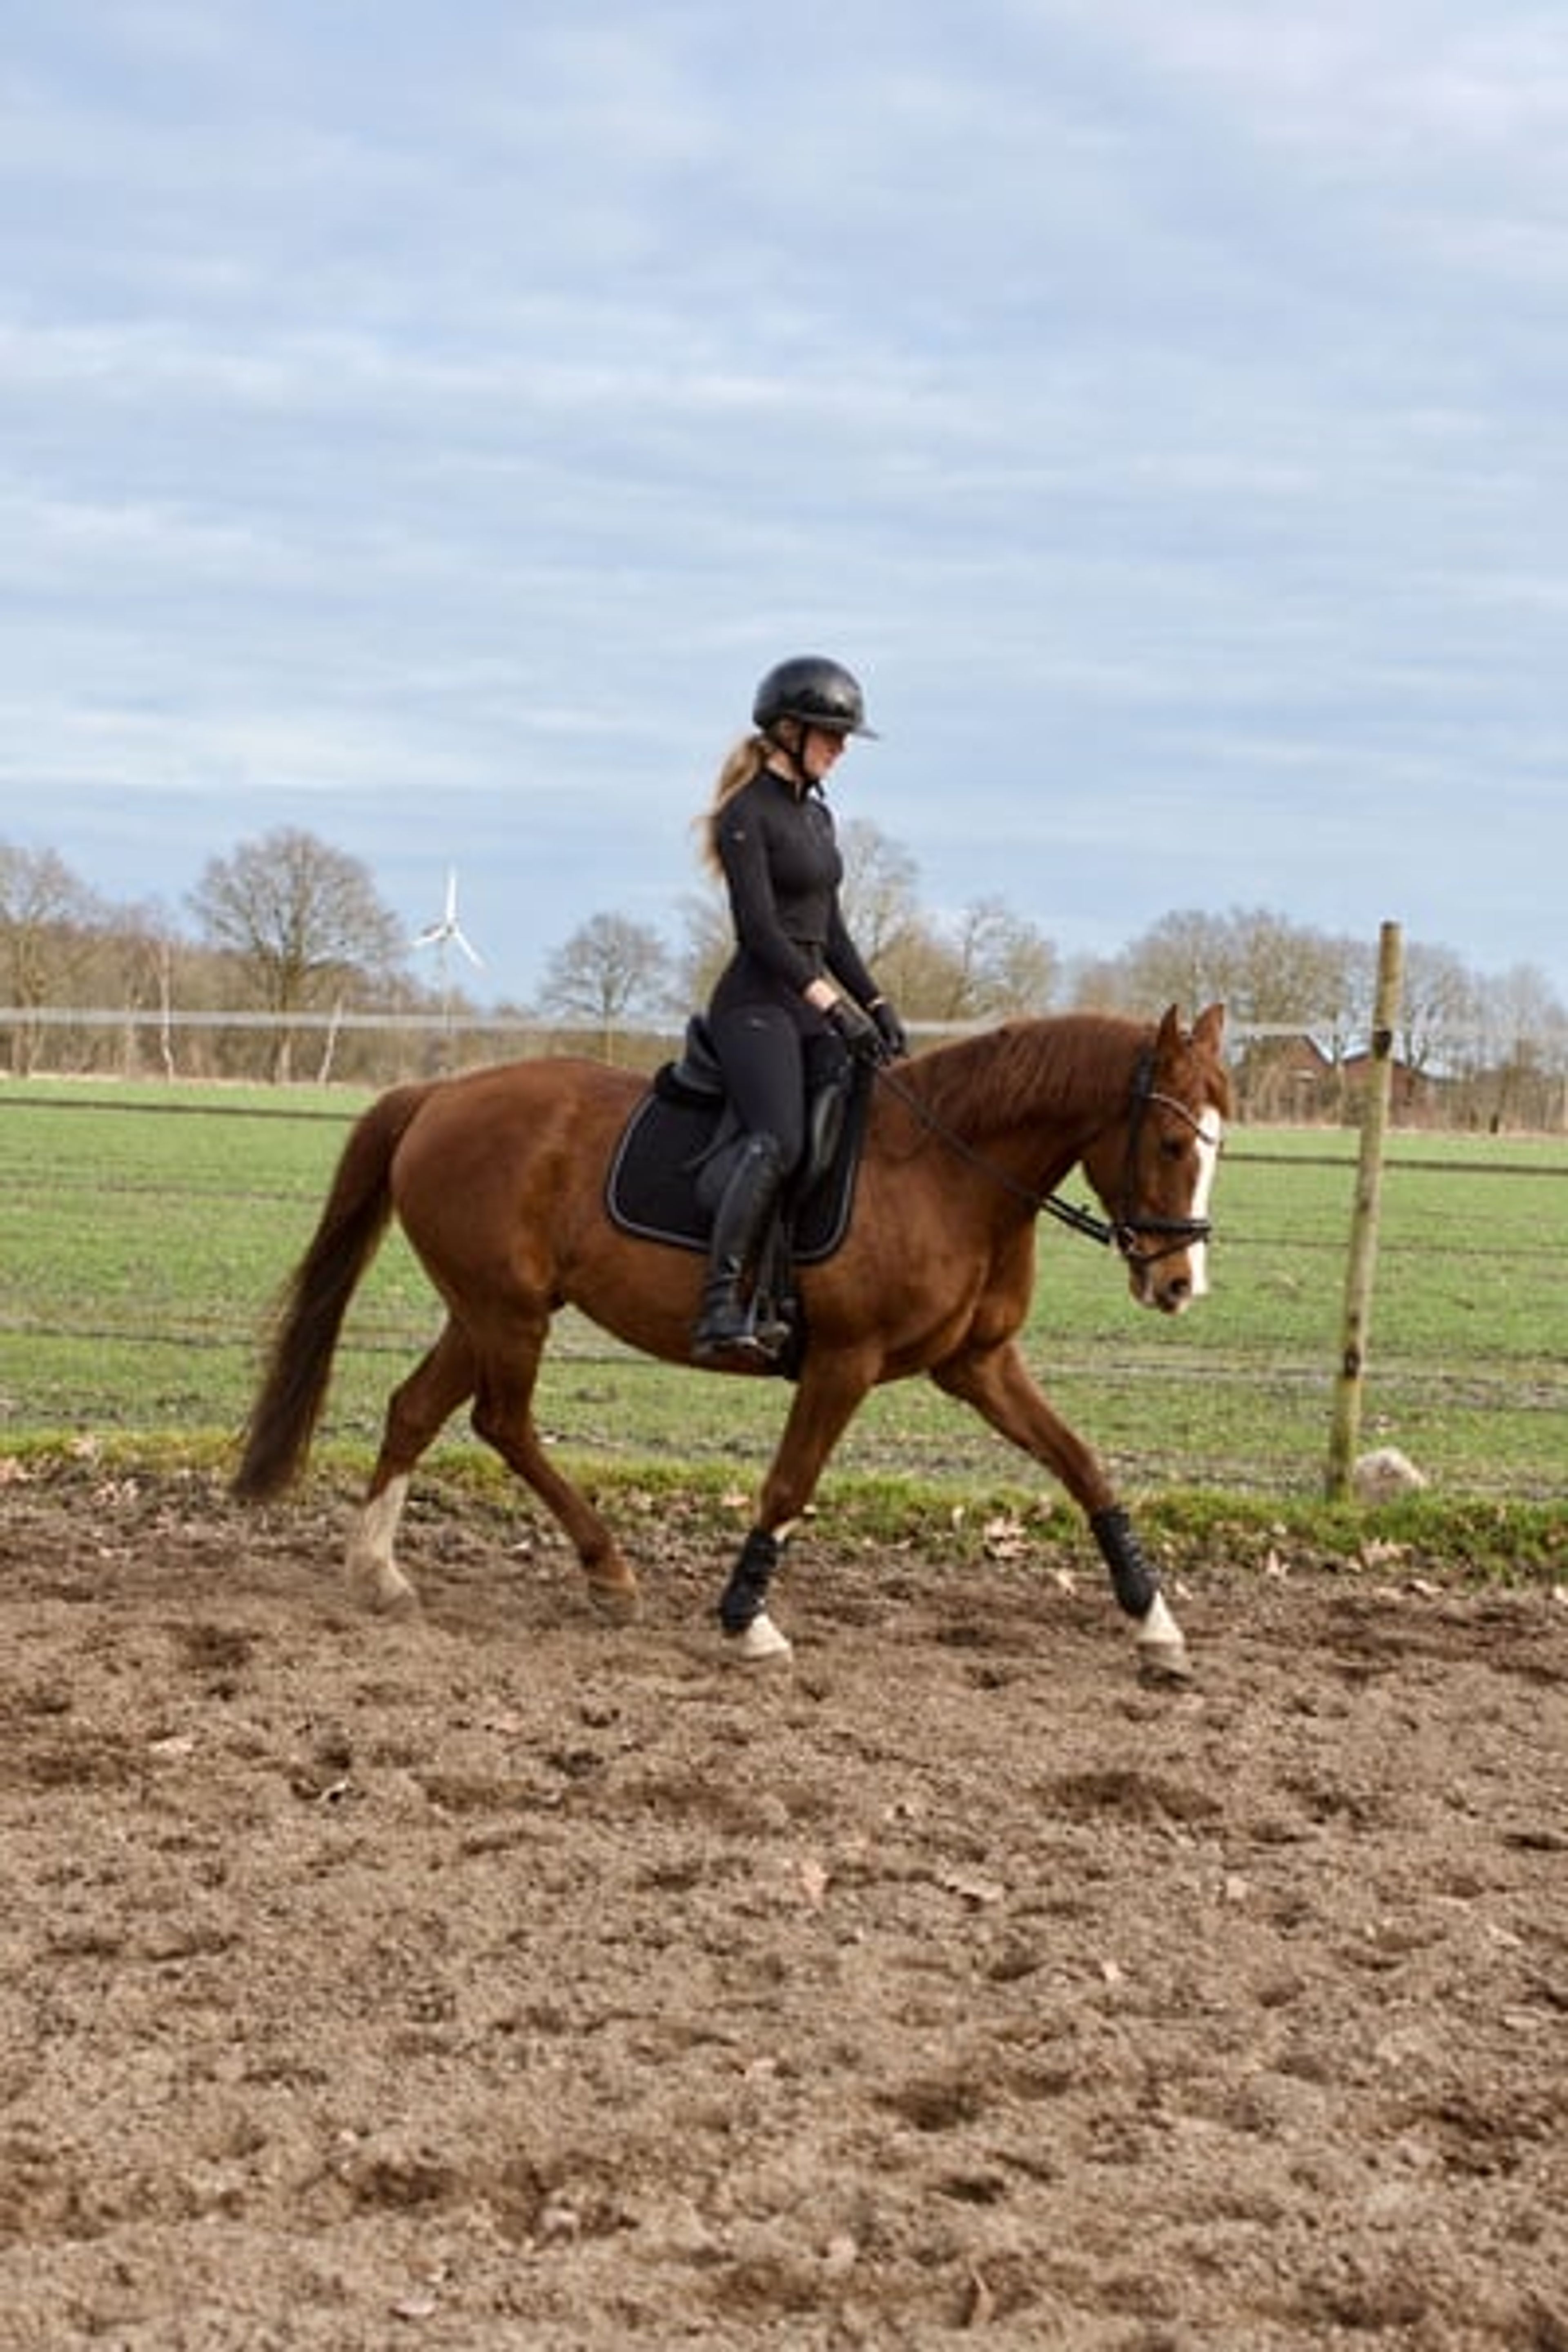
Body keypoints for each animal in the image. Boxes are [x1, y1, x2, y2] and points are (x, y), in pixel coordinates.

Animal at [233, 1002, 1230, 1681]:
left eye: (1218, 1142)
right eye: (1172, 1142)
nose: (1180, 1287)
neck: (952, 1172)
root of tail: (441, 1094)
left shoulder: (977, 1365)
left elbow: (1084, 1466)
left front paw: (1157, 1627)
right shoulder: (844, 1362)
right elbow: (790, 1485)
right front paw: (749, 1622)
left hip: (483, 1311)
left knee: (418, 1410)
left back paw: (380, 1574)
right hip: (506, 1314)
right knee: (501, 1421)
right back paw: (608, 1572)